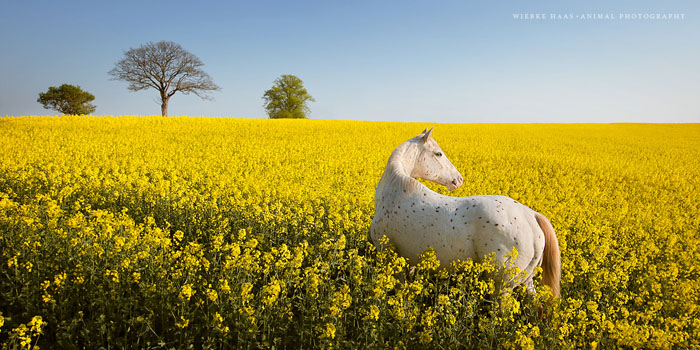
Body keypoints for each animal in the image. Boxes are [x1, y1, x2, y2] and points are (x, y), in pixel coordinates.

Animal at [370, 127, 560, 296]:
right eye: (438, 153)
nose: (459, 179)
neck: (395, 190)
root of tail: (531, 216)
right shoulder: (408, 260)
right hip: (527, 280)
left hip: (503, 285)